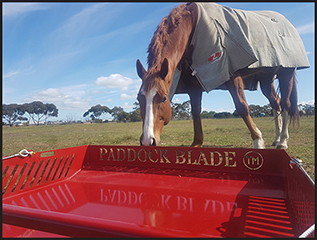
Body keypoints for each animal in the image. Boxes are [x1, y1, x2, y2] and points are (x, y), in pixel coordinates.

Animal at [135, 2, 308, 149]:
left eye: (164, 98)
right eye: (139, 98)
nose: (147, 141)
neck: (193, 27)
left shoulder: (231, 73)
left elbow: (242, 106)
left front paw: (258, 141)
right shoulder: (193, 87)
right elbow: (195, 112)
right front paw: (197, 143)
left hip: (286, 73)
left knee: (286, 104)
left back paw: (283, 141)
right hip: (266, 79)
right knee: (276, 104)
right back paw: (277, 139)